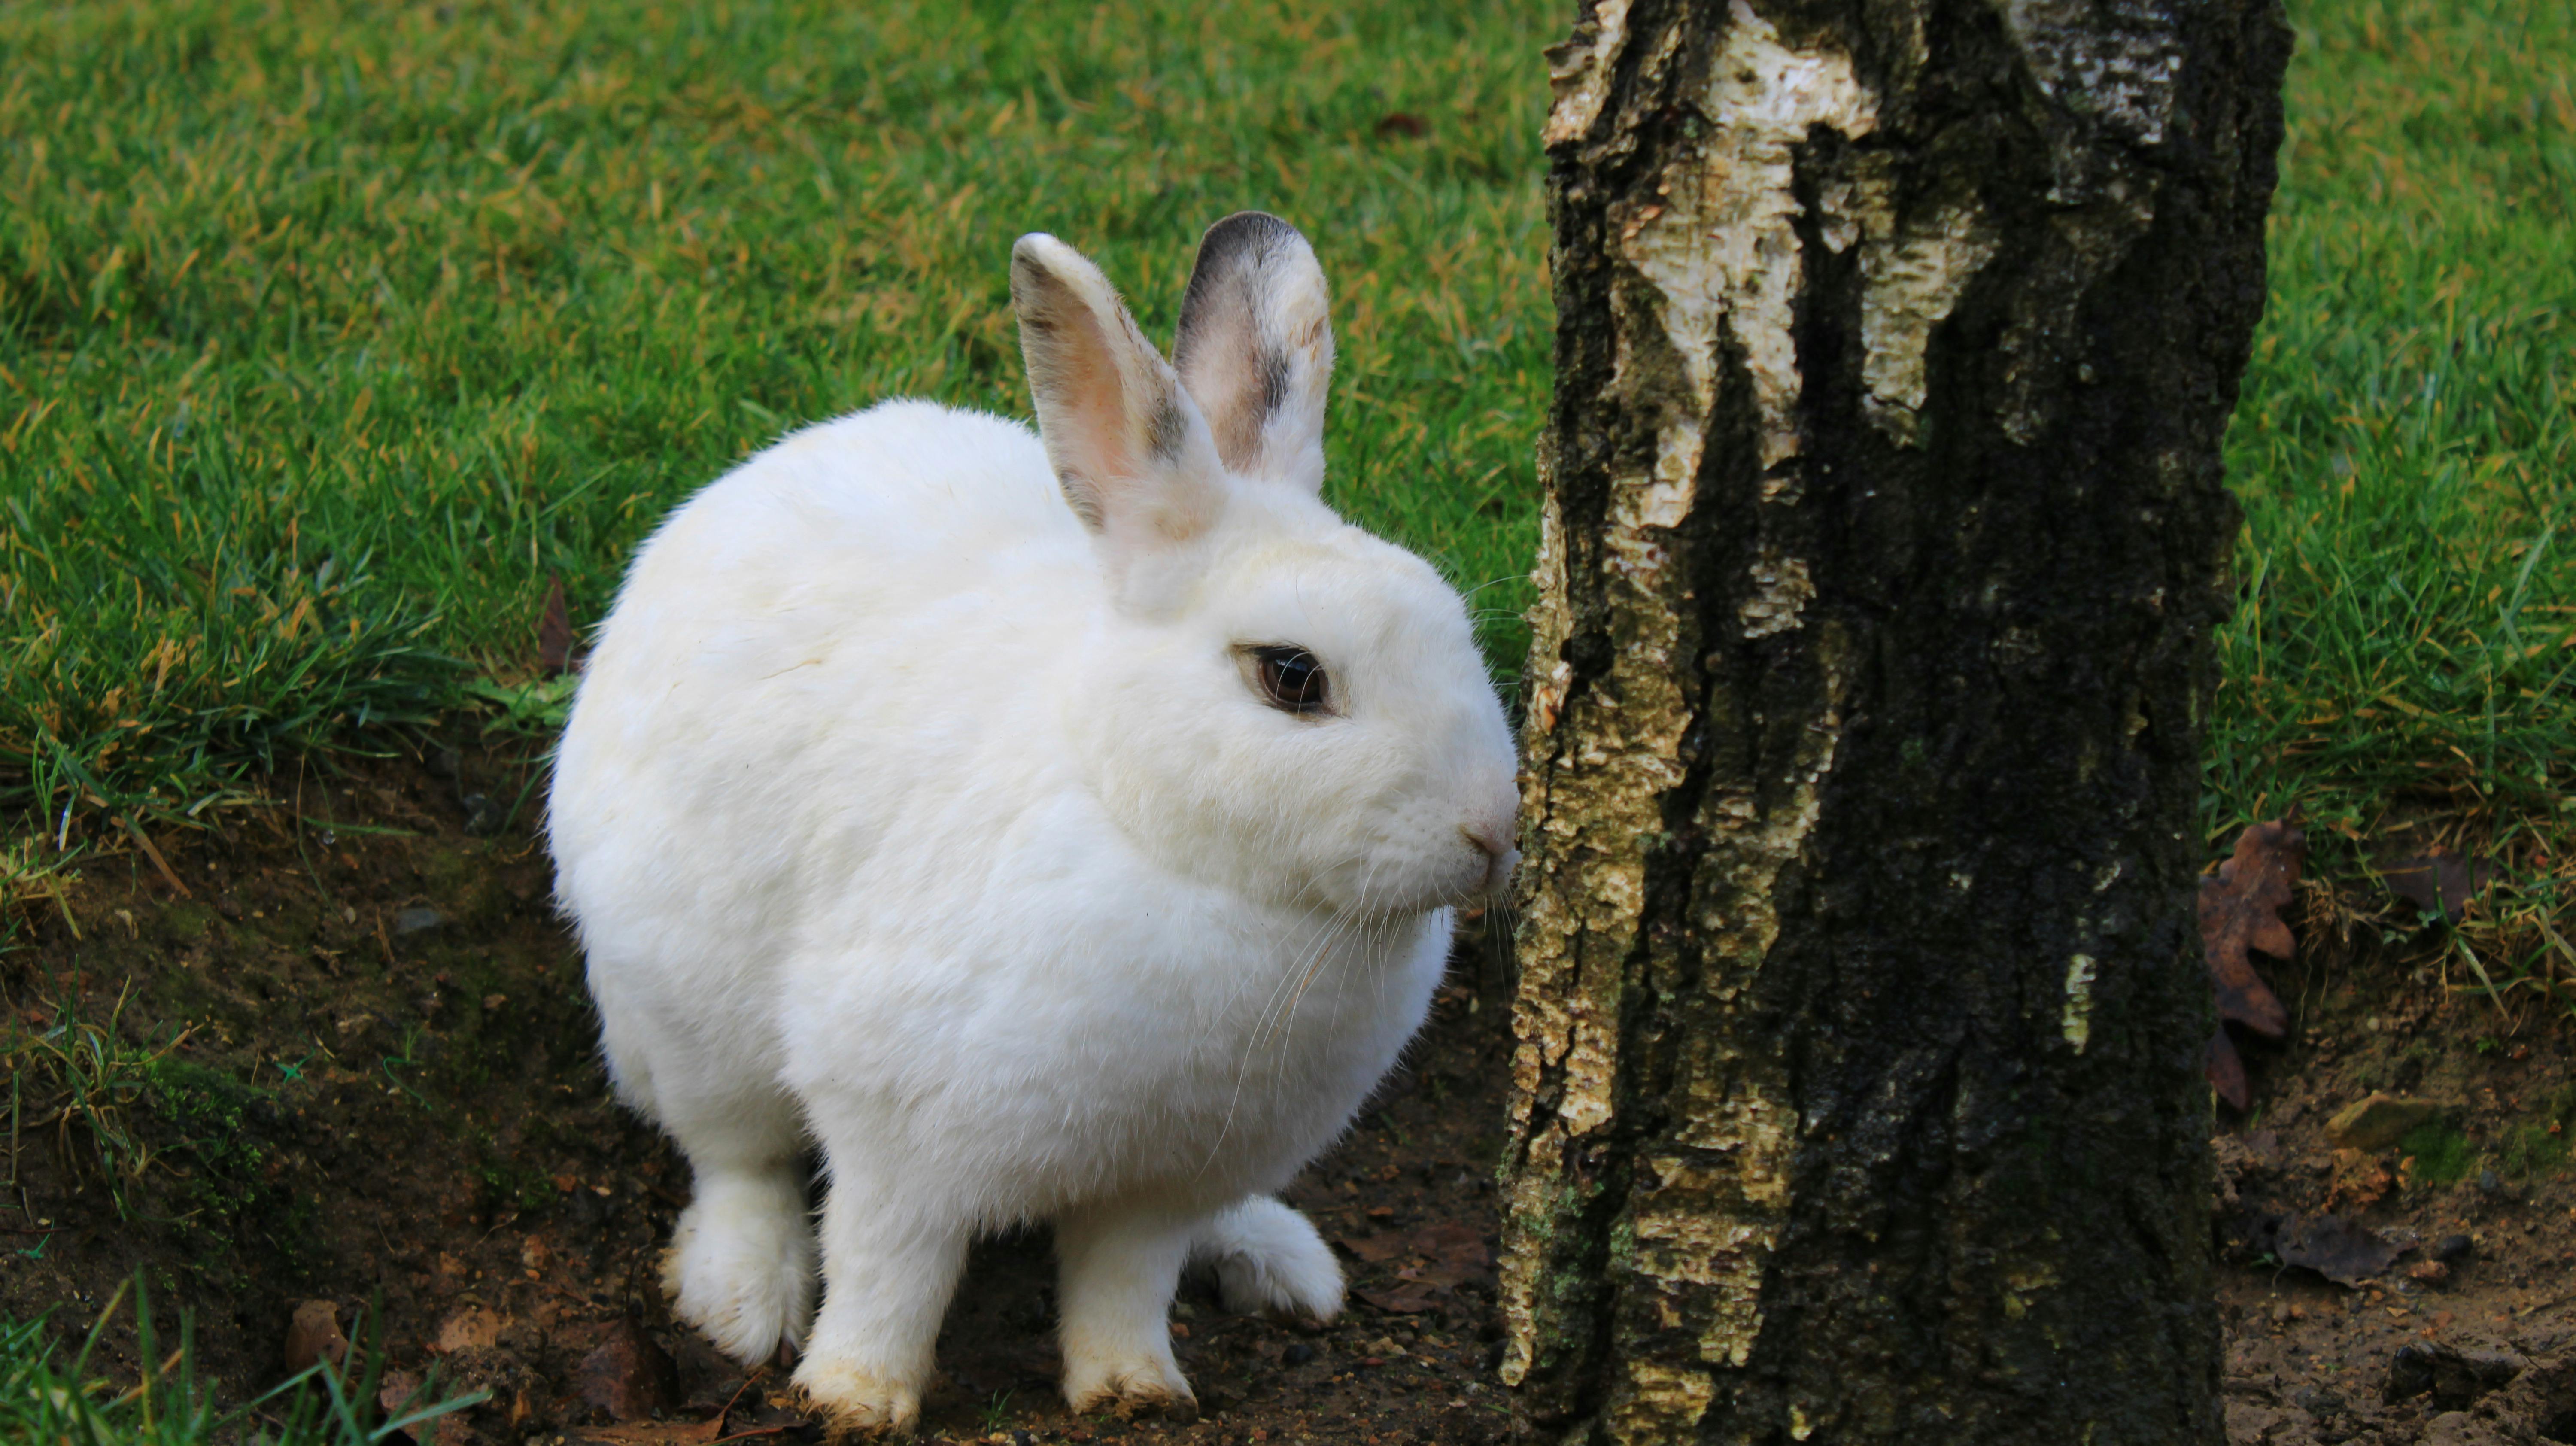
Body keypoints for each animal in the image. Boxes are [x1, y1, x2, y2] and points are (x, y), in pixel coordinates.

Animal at [545, 211, 1519, 1434]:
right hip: (682, 1020)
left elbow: (1124, 1284)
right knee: (738, 1160)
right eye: (1292, 677)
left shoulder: (1161, 1183)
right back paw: (742, 1297)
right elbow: (890, 1266)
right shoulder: (900, 1131)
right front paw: (854, 1395)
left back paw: (1278, 1258)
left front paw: (1137, 1391)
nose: (1493, 831)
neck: (1171, 843)